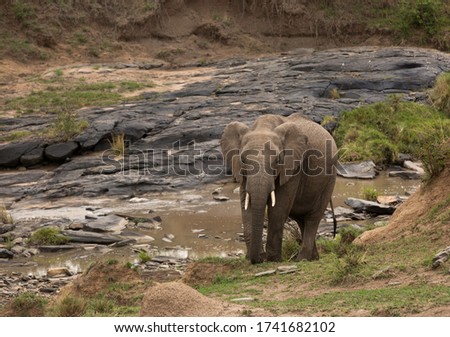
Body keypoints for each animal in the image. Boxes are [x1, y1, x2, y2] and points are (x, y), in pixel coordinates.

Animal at [220, 113, 336, 262]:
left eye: (277, 160)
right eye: (243, 160)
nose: (258, 259)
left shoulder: (293, 168)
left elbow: (278, 208)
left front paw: (273, 259)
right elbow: (246, 205)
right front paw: (256, 257)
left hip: (329, 179)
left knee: (313, 218)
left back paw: (302, 259)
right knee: (301, 219)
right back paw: (313, 258)